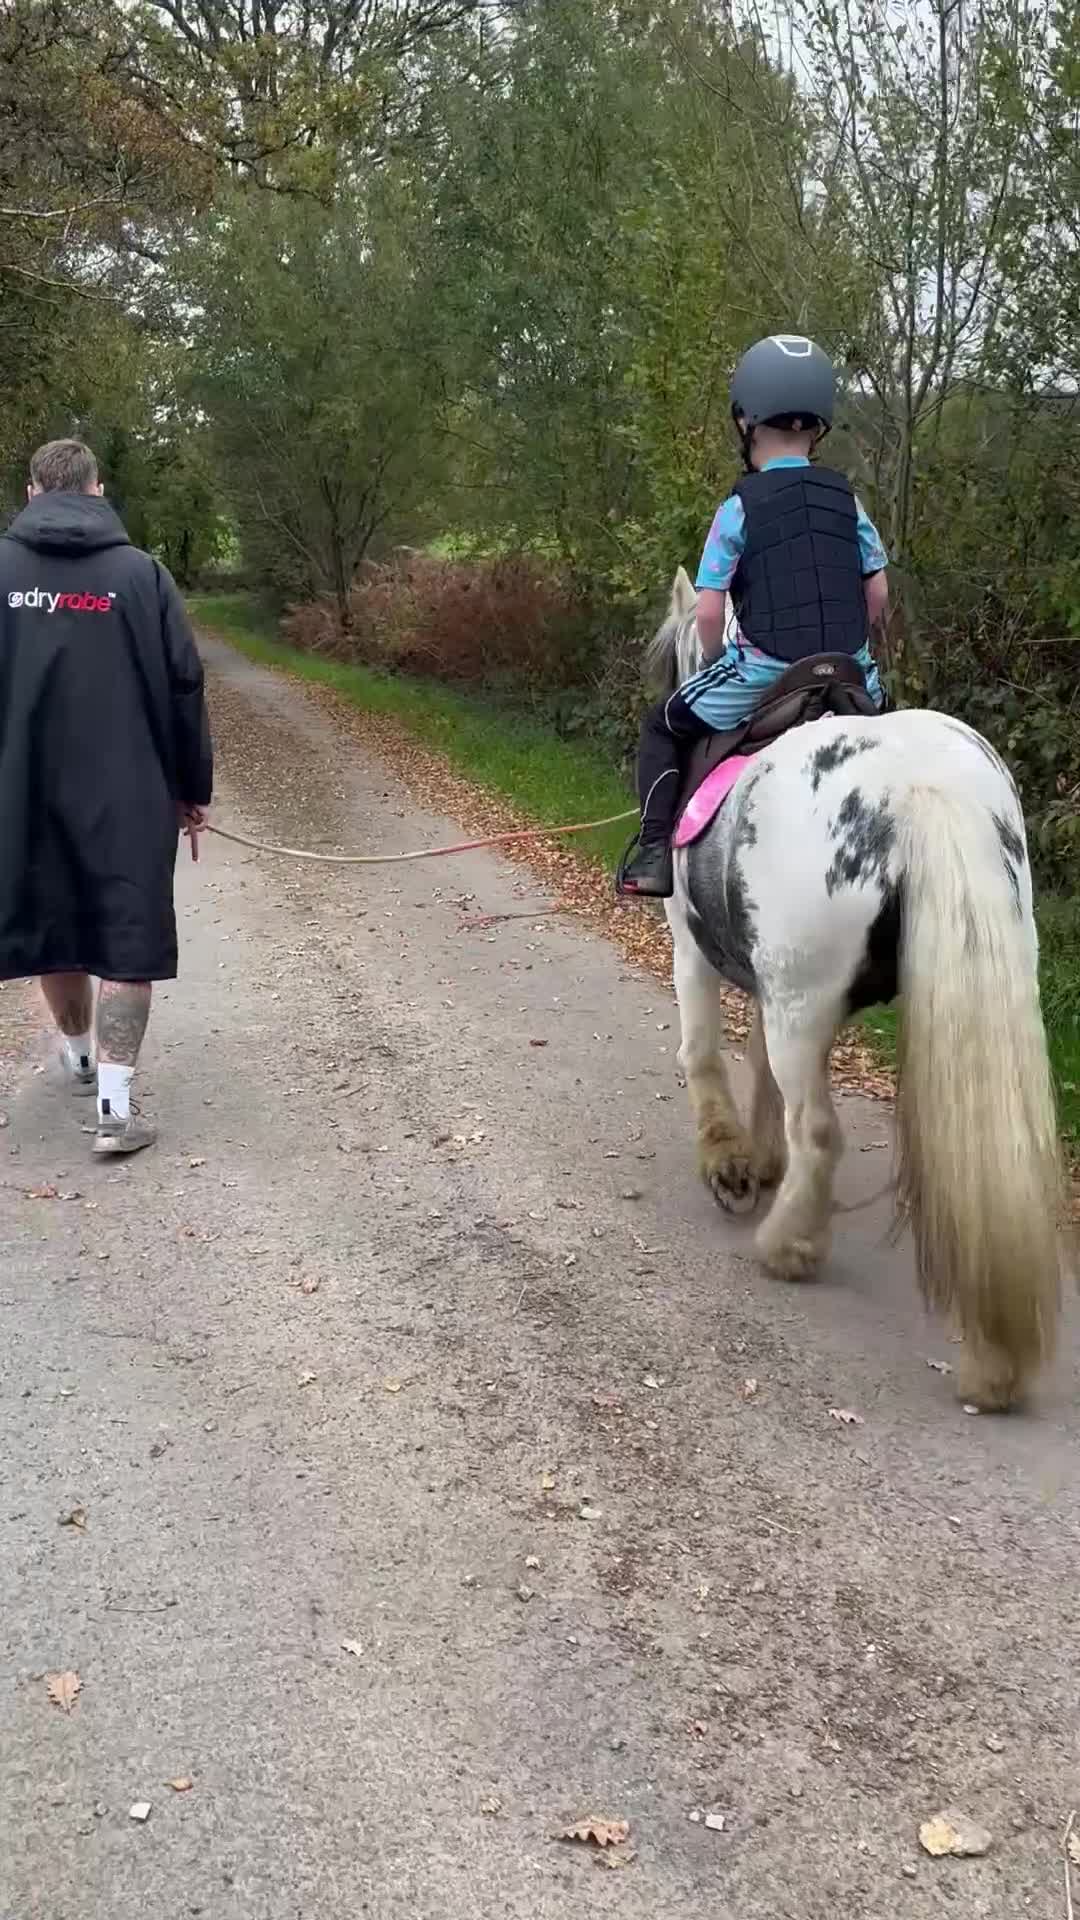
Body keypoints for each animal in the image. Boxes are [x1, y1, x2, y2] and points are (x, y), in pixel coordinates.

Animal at [650, 566, 1061, 1411]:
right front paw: (759, 1161)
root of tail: (921, 786)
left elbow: (704, 1052)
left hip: (801, 1001)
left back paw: (789, 1247)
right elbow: (758, 1068)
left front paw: (730, 1166)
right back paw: (995, 1363)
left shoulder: (694, 951)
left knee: (820, 1129)